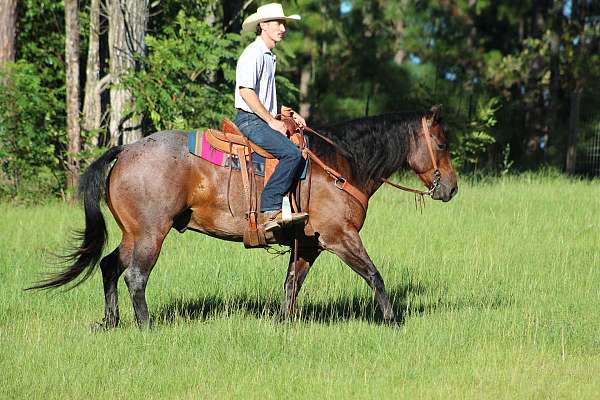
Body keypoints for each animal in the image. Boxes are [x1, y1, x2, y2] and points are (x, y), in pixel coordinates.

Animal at [28, 106, 458, 328]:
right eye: (441, 143)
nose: (451, 189)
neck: (340, 165)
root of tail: (126, 150)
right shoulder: (340, 236)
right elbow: (374, 274)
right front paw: (393, 320)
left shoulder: (309, 244)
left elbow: (291, 285)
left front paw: (283, 324)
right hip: (151, 233)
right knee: (135, 276)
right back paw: (146, 326)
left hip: (133, 233)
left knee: (108, 266)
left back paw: (111, 321)